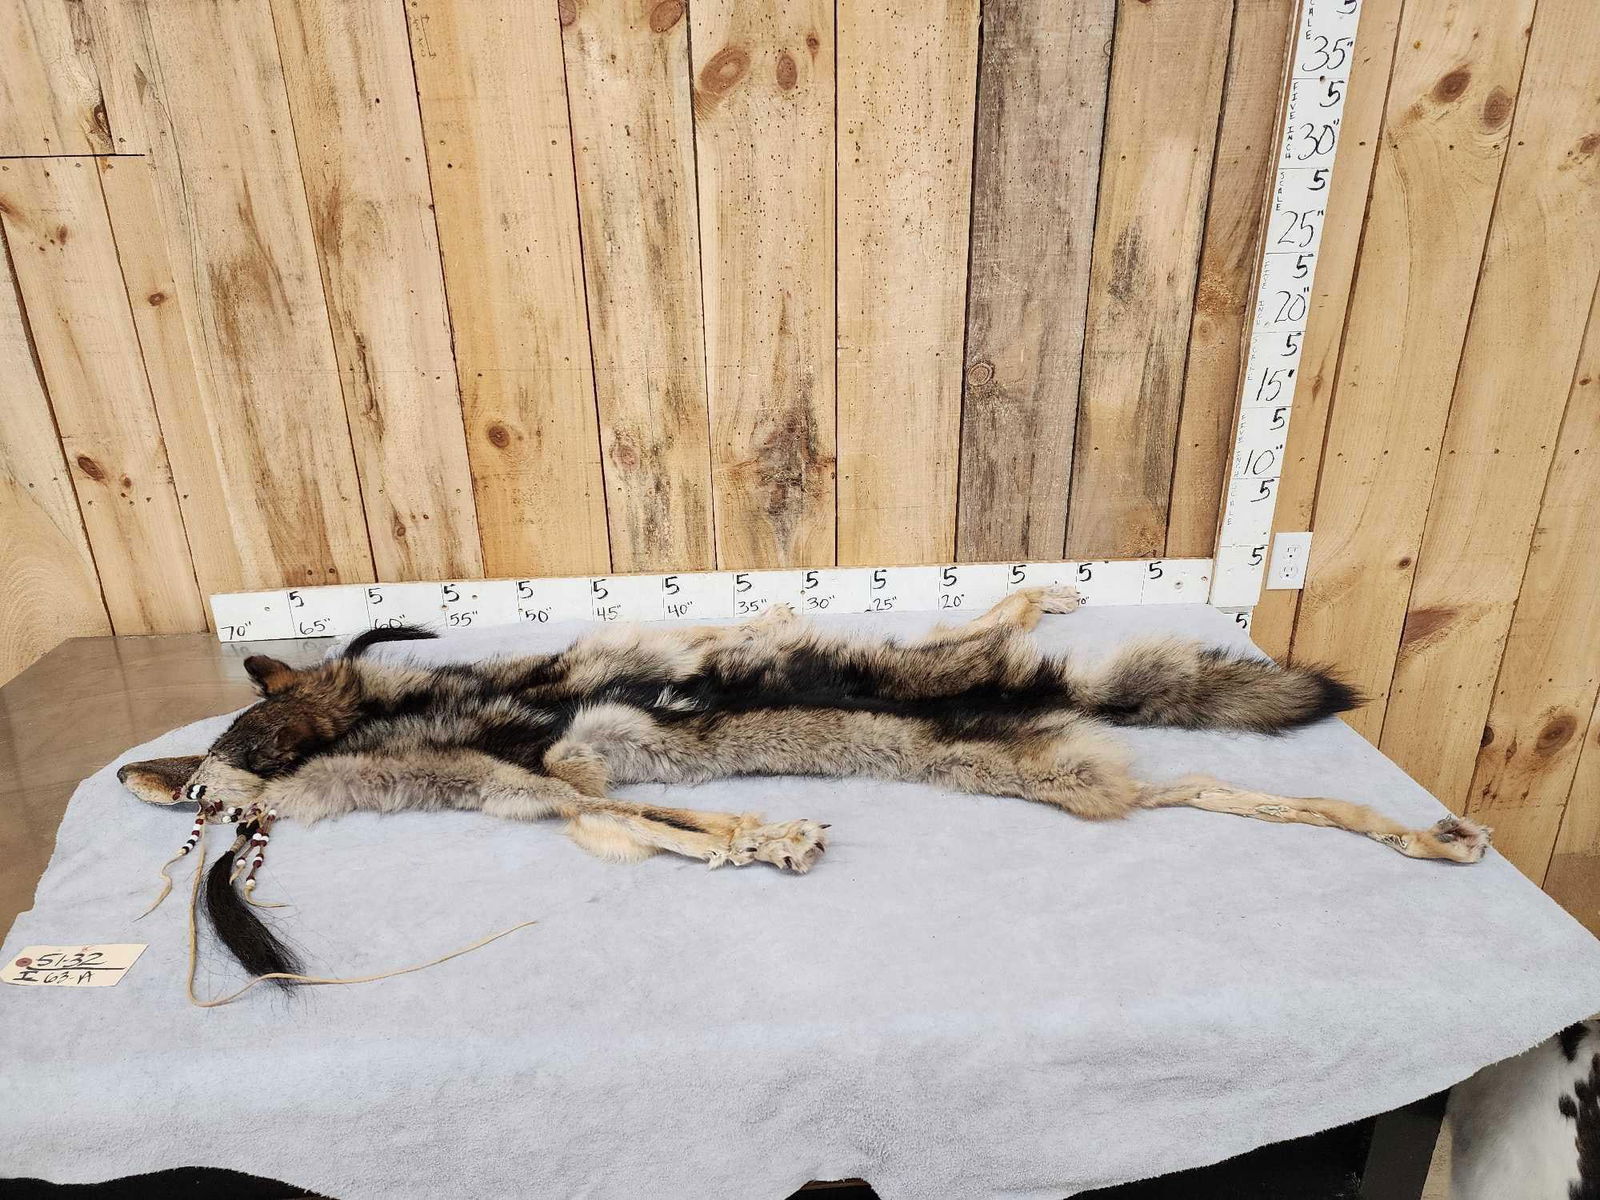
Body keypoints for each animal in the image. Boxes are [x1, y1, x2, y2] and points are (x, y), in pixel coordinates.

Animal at [119, 587, 1491, 981]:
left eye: (244, 739)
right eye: (218, 803)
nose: (211, 798)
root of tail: (1036, 699)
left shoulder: (555, 726)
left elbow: (629, 747)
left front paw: (756, 829)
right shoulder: (545, 793)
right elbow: (636, 820)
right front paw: (756, 838)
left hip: (1006, 726)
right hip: (1066, 771)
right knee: (1224, 791)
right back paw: (1434, 838)